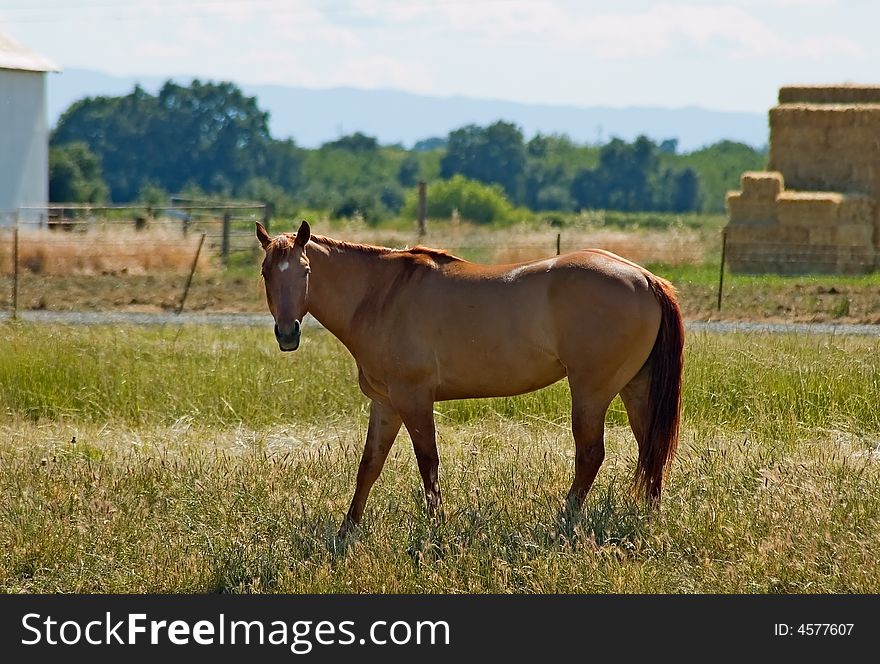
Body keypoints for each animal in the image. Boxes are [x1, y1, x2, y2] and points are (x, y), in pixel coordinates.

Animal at [258, 220, 684, 536]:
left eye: (305, 271)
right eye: (266, 272)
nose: (287, 333)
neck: (381, 296)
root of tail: (645, 278)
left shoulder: (413, 398)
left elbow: (427, 463)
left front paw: (436, 528)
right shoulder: (385, 403)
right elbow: (369, 466)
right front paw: (346, 531)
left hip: (591, 392)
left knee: (591, 454)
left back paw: (565, 520)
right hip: (635, 389)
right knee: (651, 449)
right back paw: (649, 518)